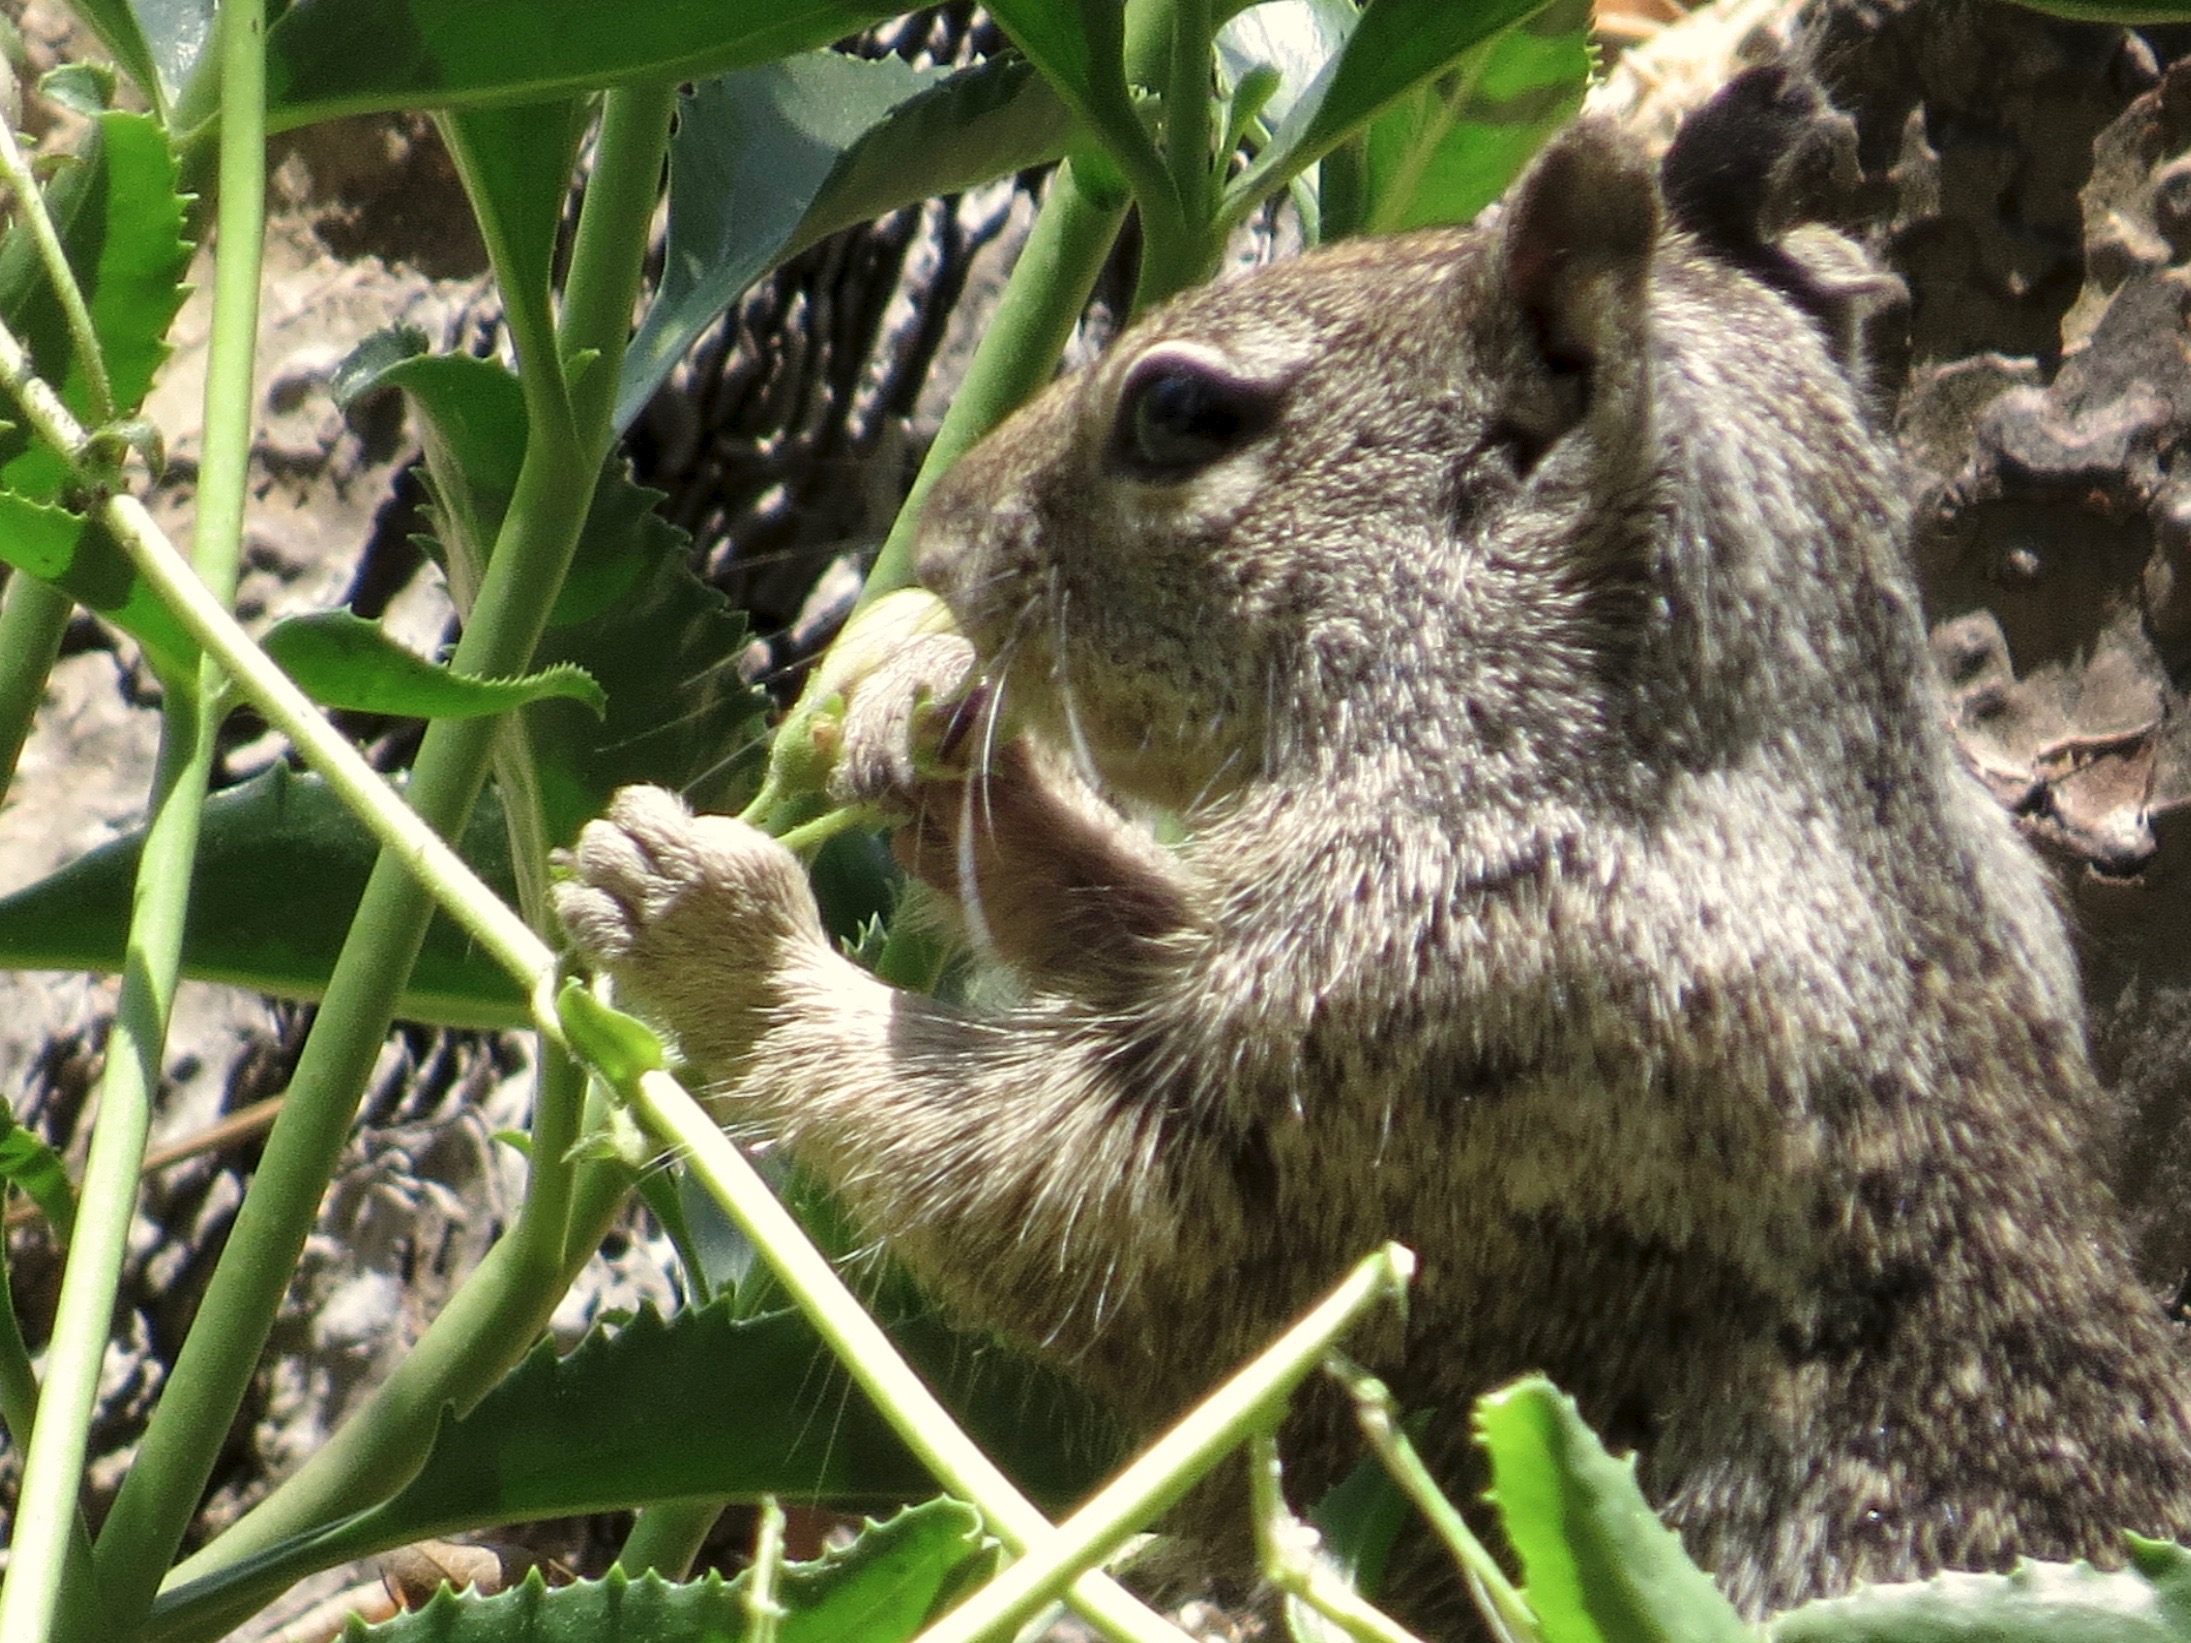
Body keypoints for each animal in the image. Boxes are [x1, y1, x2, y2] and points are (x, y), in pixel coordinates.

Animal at [556, 67, 2191, 1638]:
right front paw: (927, 727)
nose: (938, 541)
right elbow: (1126, 930)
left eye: (1174, 411)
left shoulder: (1432, 1035)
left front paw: (718, 929)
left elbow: (1061, 1204)